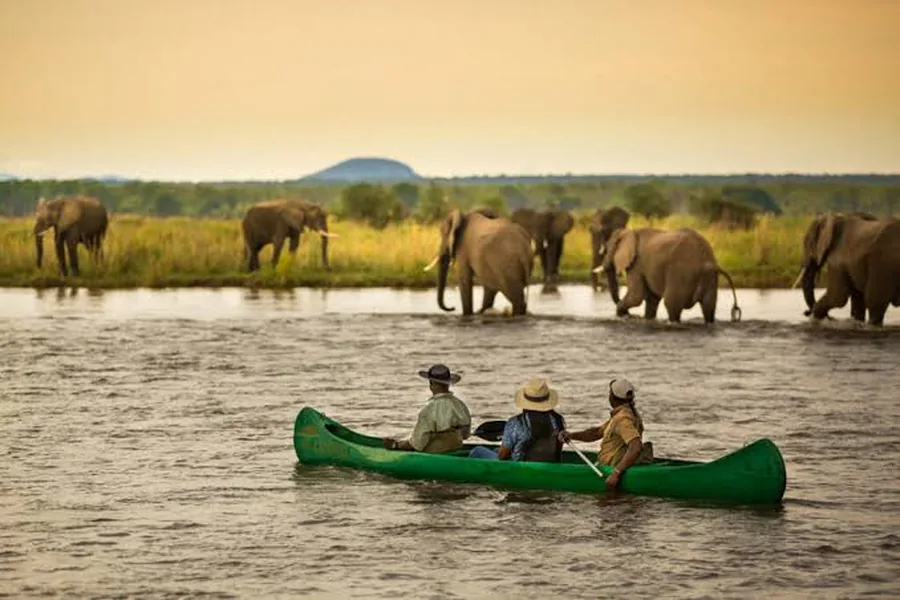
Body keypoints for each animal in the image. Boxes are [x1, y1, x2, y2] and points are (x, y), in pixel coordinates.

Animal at [595, 227, 742, 324]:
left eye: (607, 250)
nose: (628, 315)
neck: (630, 231)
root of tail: (708, 261)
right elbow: (652, 299)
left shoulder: (637, 265)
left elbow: (636, 296)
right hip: (709, 278)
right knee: (708, 307)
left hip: (681, 273)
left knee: (672, 304)